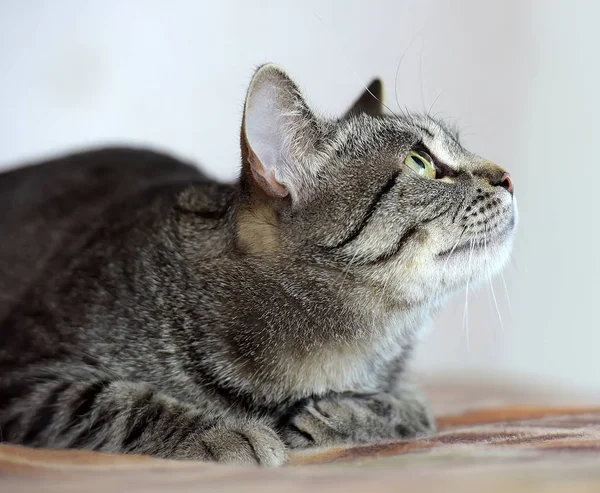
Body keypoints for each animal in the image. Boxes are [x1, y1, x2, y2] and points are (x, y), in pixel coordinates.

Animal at [0, 64, 516, 466]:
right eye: (419, 162)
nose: (509, 177)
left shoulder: (406, 387)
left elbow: (411, 412)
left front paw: (340, 414)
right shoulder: (22, 377)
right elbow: (119, 401)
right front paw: (222, 432)